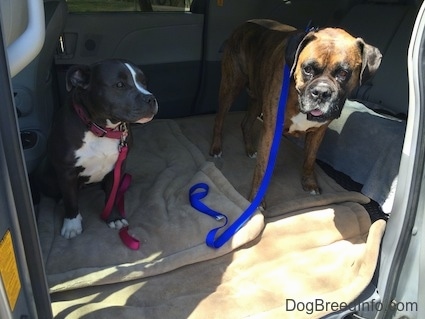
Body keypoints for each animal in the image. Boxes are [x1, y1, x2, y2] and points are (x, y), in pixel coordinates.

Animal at [46, 58, 158, 239]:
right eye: (119, 85)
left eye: (144, 82)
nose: (151, 99)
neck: (101, 129)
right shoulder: (66, 171)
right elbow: (71, 200)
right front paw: (72, 224)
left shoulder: (117, 167)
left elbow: (112, 193)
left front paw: (114, 217)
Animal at [209, 19, 380, 205]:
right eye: (308, 69)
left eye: (343, 73)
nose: (321, 92)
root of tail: (246, 23)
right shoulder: (271, 131)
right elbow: (262, 167)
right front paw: (256, 199)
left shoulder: (318, 133)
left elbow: (310, 159)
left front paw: (309, 183)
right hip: (230, 87)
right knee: (219, 119)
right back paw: (216, 148)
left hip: (257, 96)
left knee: (245, 123)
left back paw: (250, 149)